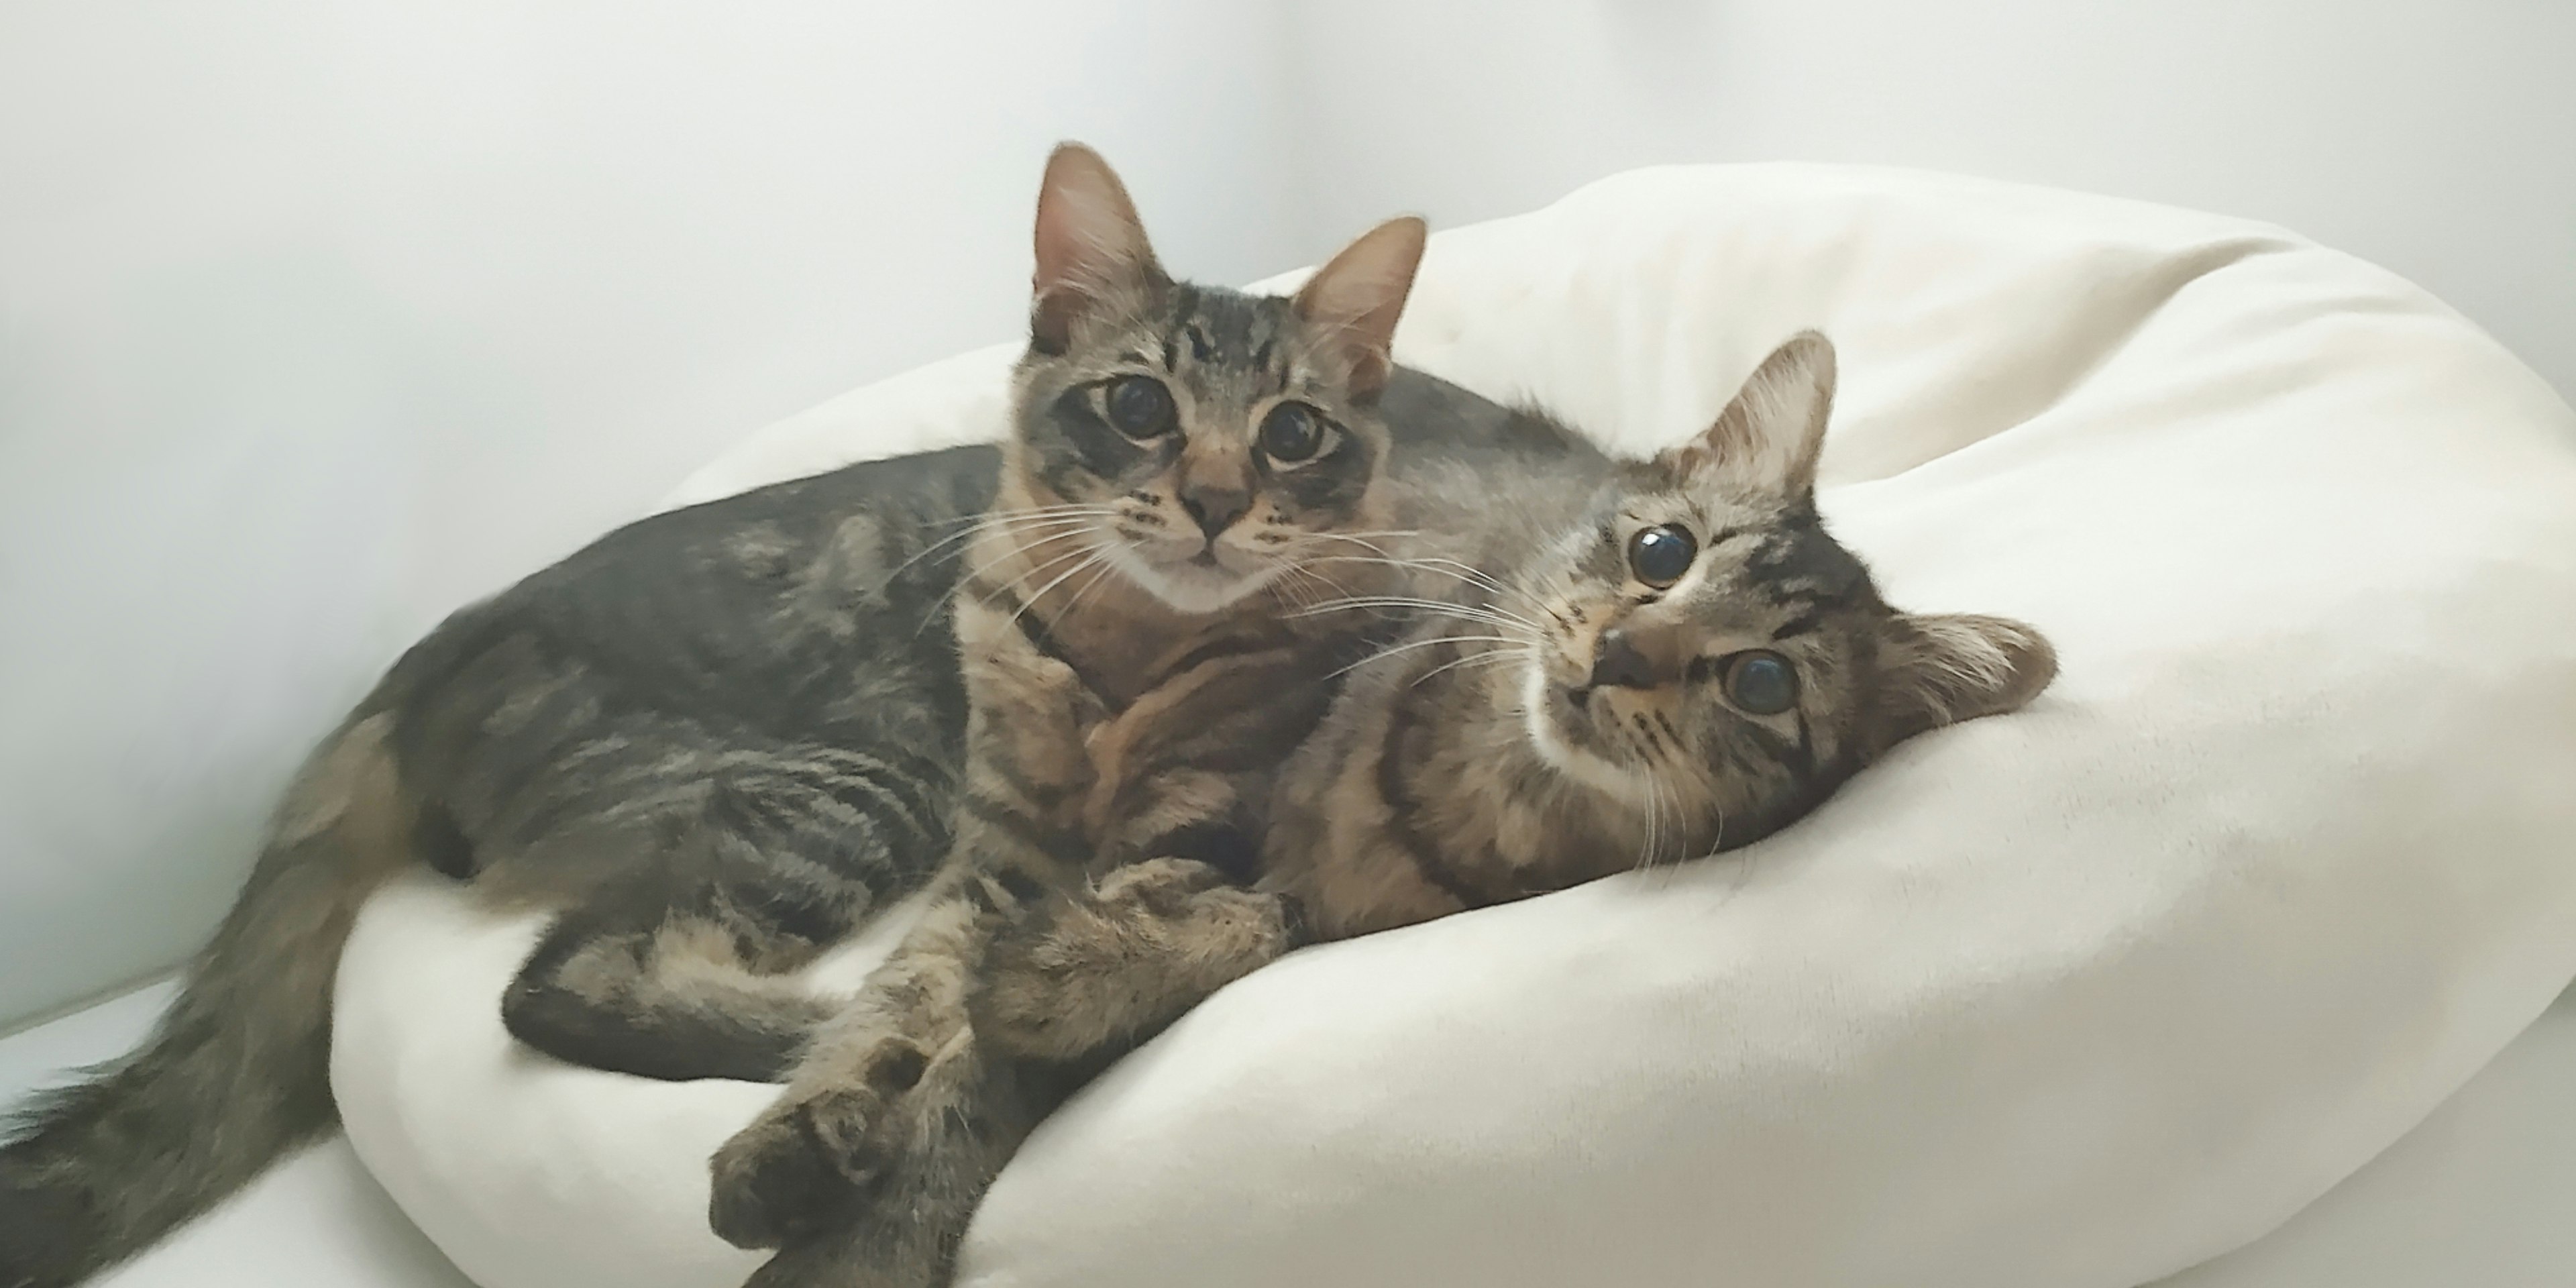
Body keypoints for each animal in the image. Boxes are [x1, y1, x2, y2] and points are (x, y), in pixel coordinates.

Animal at [0, 148, 1546, 1288]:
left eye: (1291, 434)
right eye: (1138, 408)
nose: (1219, 501)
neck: (1126, 652)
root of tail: (427, 657)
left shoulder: (1183, 849)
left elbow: (997, 1033)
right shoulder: (996, 851)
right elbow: (925, 1002)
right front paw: (837, 1108)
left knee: (572, 975)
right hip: (869, 778)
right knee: (572, 974)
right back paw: (796, 1035)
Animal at [737, 329, 2061, 1277]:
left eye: (1766, 683)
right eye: (1663, 554)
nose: (1624, 654)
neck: (1477, 782)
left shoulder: (1255, 873)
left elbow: (1066, 1019)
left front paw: (1061, 985)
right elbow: (972, 1036)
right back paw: (788, 1143)